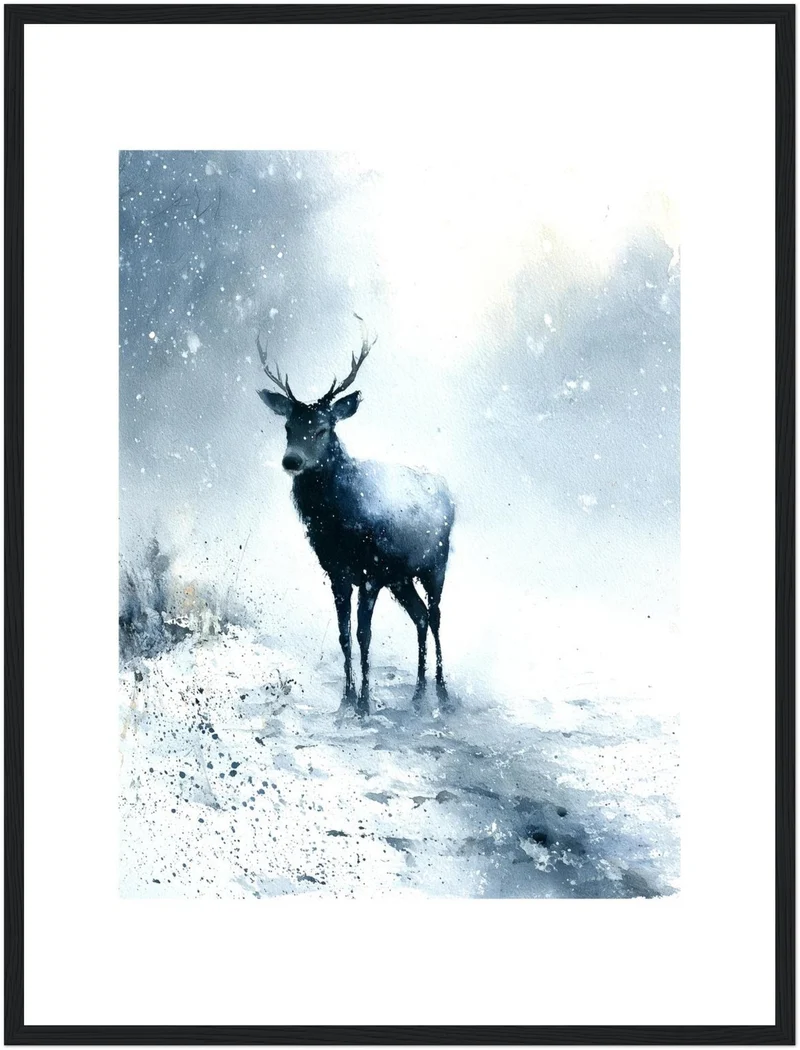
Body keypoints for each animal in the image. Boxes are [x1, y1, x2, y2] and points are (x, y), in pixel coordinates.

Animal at [256, 316, 454, 716]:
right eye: (288, 427)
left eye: (323, 427)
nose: (291, 461)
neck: (338, 522)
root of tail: (451, 495)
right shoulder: (337, 572)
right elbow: (344, 634)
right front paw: (345, 700)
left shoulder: (371, 572)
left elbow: (365, 634)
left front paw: (364, 703)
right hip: (401, 577)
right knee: (420, 616)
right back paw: (417, 693)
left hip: (436, 563)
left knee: (437, 616)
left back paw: (442, 692)